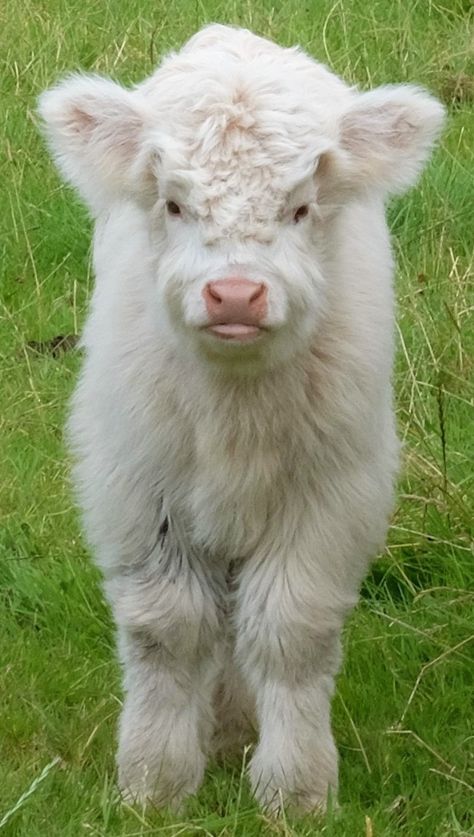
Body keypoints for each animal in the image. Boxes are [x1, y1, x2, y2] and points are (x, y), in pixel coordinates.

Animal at [39, 26, 442, 816]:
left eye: (301, 207)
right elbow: (166, 629)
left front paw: (296, 790)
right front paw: (156, 783)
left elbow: (291, 631)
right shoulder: (139, 487)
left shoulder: (331, 495)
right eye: (172, 204)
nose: (233, 295)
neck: (235, 409)